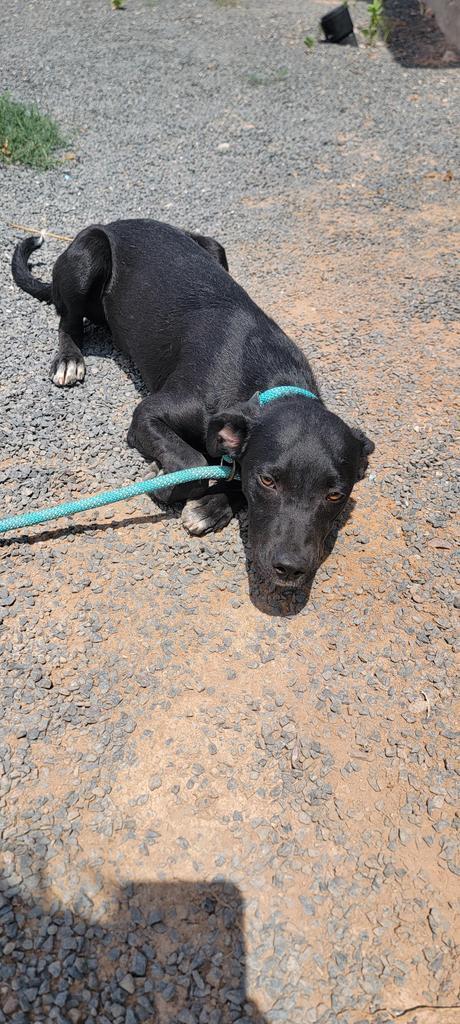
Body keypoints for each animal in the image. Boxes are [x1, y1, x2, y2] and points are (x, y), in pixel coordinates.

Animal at [11, 220, 372, 589]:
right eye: (268, 481)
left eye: (335, 495)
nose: (290, 568)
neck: (271, 381)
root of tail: (116, 222)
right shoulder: (148, 413)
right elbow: (193, 463)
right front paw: (167, 482)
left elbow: (232, 471)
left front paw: (212, 505)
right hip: (88, 255)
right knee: (67, 321)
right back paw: (69, 358)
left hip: (214, 247)